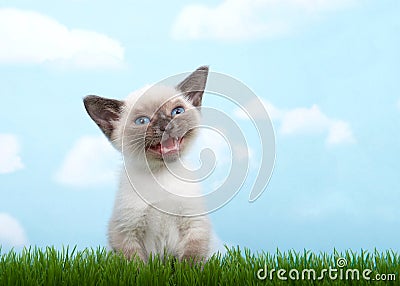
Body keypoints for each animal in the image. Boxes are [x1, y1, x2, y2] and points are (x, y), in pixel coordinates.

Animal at [83, 66, 211, 262]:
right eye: (142, 121)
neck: (161, 176)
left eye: (177, 111)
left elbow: (191, 260)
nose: (166, 125)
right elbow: (137, 264)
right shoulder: (125, 231)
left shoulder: (194, 224)